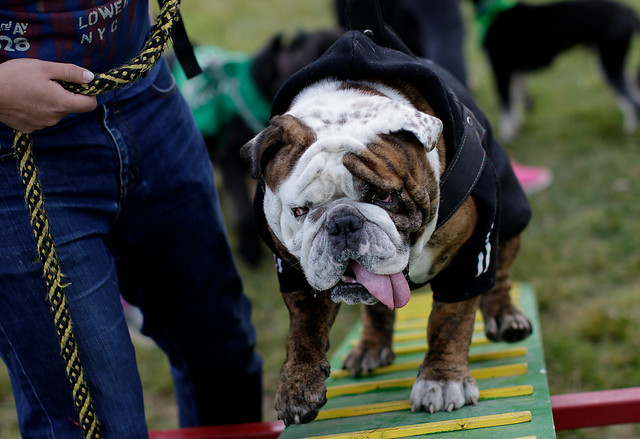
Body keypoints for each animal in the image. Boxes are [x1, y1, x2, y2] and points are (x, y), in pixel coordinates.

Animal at [476, 0, 640, 140]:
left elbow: (505, 106)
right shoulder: (516, 74)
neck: (494, 9)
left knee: (632, 100)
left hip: (610, 62)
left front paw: (508, 135)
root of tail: (630, 12)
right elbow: (515, 101)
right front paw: (517, 126)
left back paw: (629, 131)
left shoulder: (501, 71)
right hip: (614, 62)